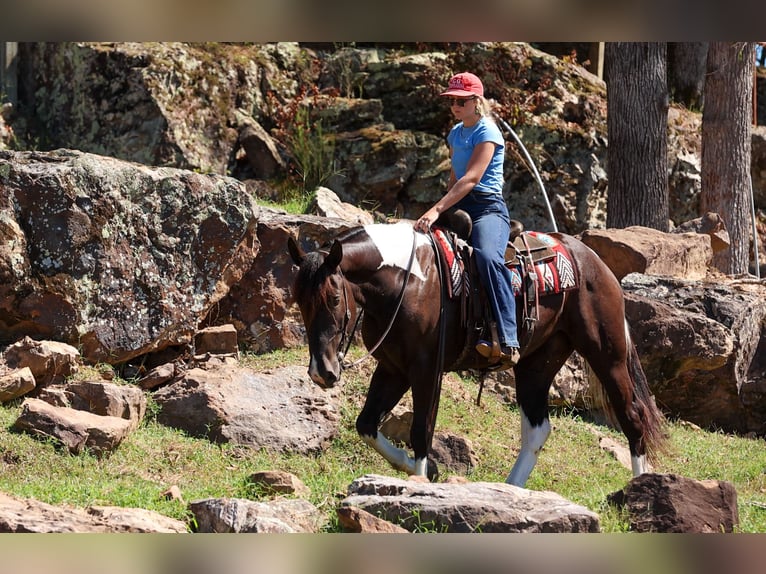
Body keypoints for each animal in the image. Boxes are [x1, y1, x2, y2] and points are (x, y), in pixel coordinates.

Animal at [287, 219, 666, 487]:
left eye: (333, 298)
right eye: (299, 302)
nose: (321, 372)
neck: (408, 281)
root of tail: (595, 263)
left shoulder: (427, 369)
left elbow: (421, 430)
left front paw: (421, 479)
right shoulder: (393, 367)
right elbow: (366, 424)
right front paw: (425, 470)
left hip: (607, 354)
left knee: (632, 416)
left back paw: (638, 489)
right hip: (536, 363)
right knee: (537, 428)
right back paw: (511, 489)